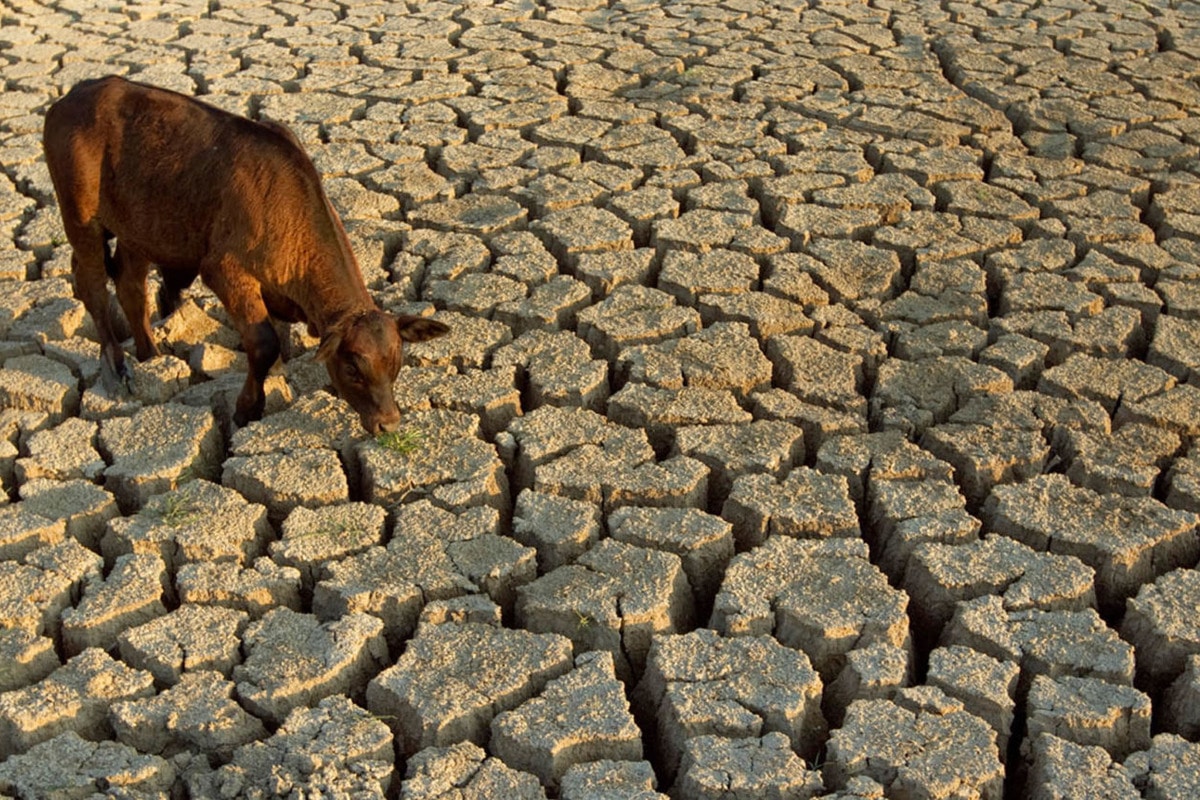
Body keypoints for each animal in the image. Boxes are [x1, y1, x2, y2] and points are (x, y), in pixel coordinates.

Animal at [42, 76, 448, 431]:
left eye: (395, 364)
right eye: (352, 368)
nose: (388, 424)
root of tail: (79, 92)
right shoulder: (225, 271)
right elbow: (264, 344)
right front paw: (248, 408)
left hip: (138, 225)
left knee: (130, 284)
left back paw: (150, 356)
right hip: (80, 216)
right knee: (93, 283)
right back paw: (116, 365)